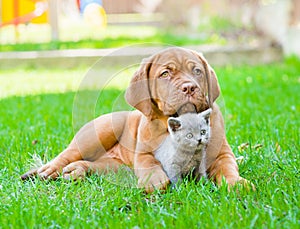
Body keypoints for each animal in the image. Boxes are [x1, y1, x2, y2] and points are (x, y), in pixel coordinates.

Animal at [20, 46, 246, 191]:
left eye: (197, 71)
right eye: (165, 74)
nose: (190, 87)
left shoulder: (221, 154)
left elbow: (228, 168)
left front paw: (237, 183)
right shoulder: (144, 153)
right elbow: (150, 165)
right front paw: (155, 182)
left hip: (116, 167)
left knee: (94, 166)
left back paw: (77, 171)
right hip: (99, 132)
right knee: (66, 155)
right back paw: (48, 170)